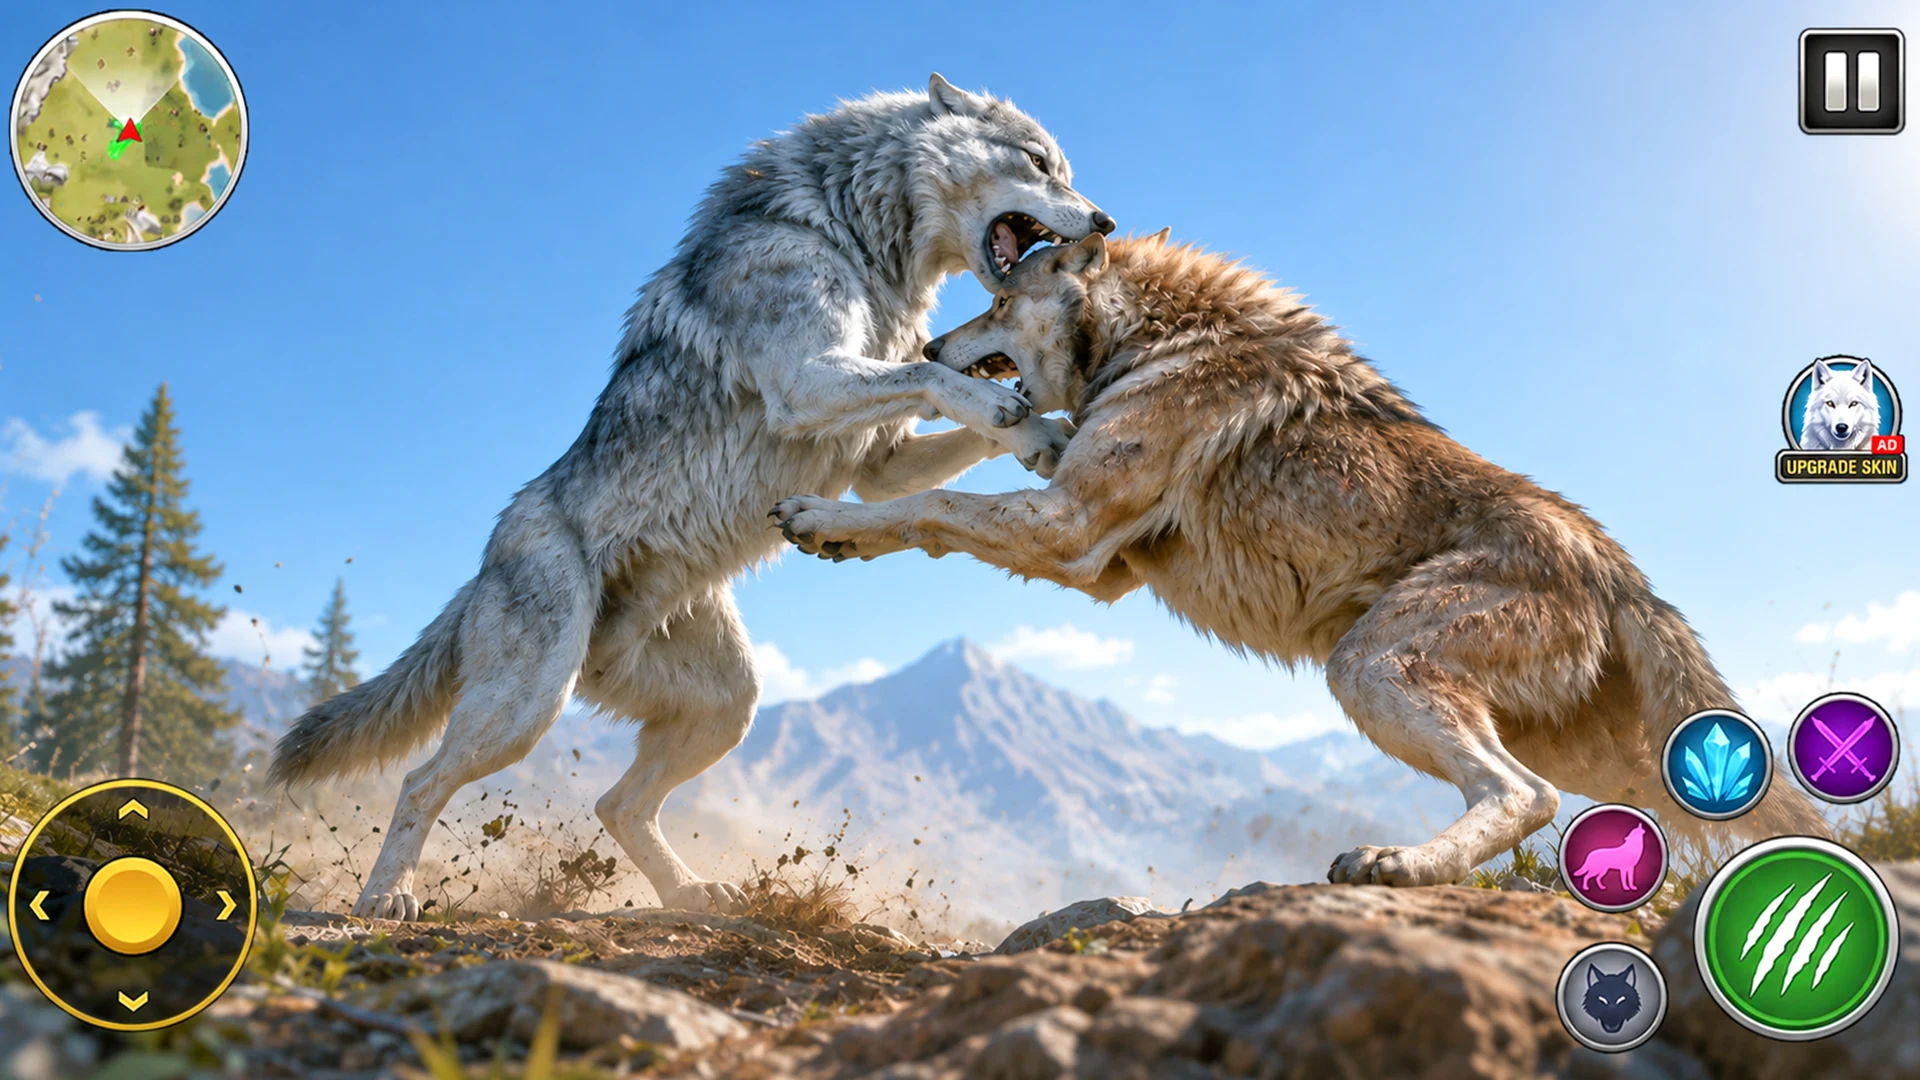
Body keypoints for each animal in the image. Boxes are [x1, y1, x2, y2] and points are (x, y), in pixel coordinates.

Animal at [269, 75, 1114, 920]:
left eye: (1065, 170)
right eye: (1040, 164)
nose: (1105, 222)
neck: (850, 233)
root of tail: (479, 572)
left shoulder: (877, 463)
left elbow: (950, 419)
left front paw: (1044, 432)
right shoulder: (807, 382)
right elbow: (934, 375)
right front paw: (1007, 405)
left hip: (726, 706)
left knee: (616, 803)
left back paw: (691, 893)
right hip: (527, 707)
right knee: (421, 781)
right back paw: (387, 896)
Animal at [773, 232, 1828, 887]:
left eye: (994, 300)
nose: (930, 344)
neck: (1151, 339)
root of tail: (1619, 569)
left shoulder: (1069, 529)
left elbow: (933, 503)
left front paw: (825, 516)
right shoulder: (1100, 563)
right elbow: (972, 484)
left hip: (1370, 668)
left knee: (1522, 795)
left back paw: (1396, 867)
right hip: (1624, 761)